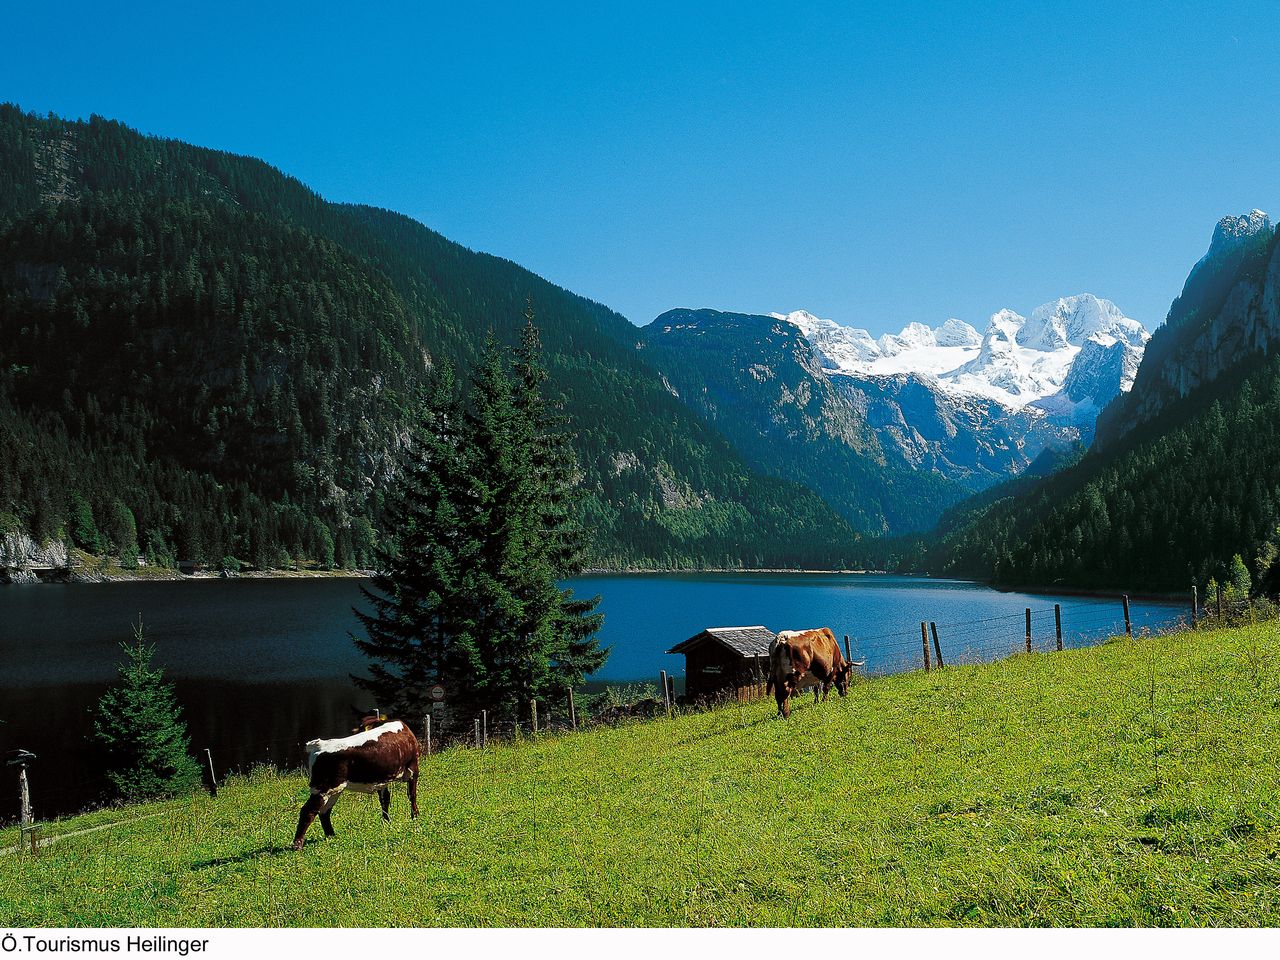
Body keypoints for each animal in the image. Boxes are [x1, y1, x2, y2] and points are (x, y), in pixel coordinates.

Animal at [293, 711, 419, 855]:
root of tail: (318, 744)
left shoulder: (383, 781)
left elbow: (385, 800)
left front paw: (386, 822)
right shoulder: (413, 769)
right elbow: (412, 795)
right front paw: (415, 816)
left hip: (334, 790)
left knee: (324, 811)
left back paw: (331, 835)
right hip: (322, 788)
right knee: (308, 811)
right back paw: (297, 844)